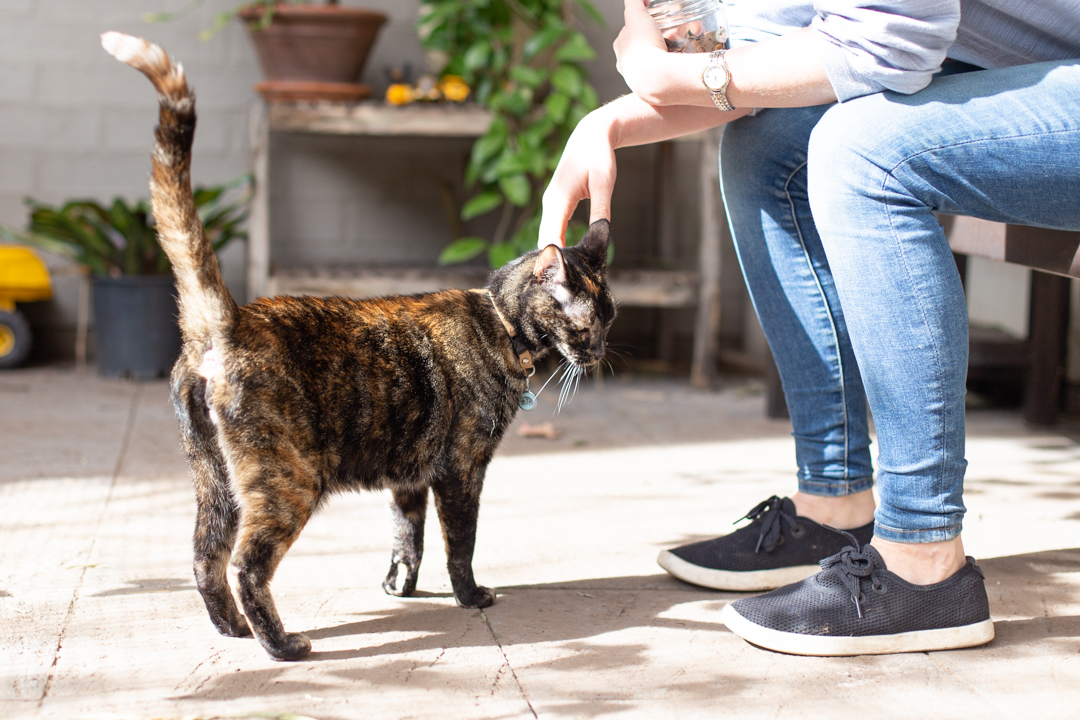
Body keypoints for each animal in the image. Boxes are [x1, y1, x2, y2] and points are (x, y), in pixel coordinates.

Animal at [105, 36, 617, 660]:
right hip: (288, 481)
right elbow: (461, 544)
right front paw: (470, 597)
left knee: (205, 559)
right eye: (589, 327)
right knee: (247, 565)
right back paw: (281, 645)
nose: (602, 354)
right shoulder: (461, 469)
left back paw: (234, 630)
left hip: (216, 482)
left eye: (612, 320)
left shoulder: (410, 477)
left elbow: (406, 535)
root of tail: (226, 322)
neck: (497, 324)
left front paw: (399, 586)